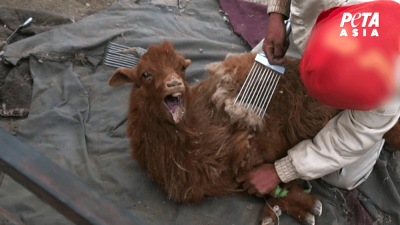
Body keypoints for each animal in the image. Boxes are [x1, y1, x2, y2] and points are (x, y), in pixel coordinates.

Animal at [108, 42, 400, 225]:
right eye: (145, 74)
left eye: (182, 67)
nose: (174, 84)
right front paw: (284, 210)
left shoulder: (257, 147)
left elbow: (267, 178)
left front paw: (299, 206)